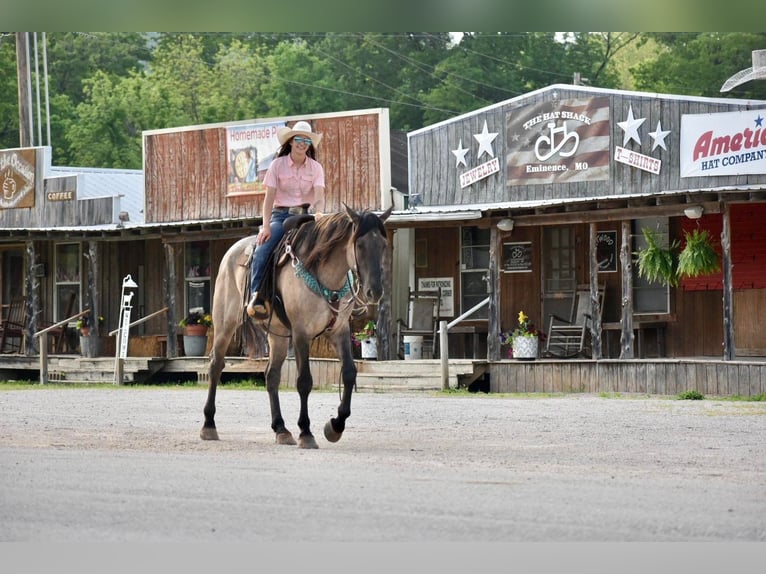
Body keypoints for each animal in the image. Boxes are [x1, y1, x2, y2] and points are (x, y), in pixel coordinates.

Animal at [201, 206, 392, 450]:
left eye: (383, 245)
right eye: (360, 245)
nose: (374, 292)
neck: (326, 276)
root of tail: (233, 251)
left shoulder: (339, 331)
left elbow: (349, 373)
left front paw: (335, 426)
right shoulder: (302, 333)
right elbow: (304, 381)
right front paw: (306, 433)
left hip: (279, 336)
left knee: (271, 375)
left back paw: (281, 429)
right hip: (225, 323)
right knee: (216, 365)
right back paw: (209, 425)